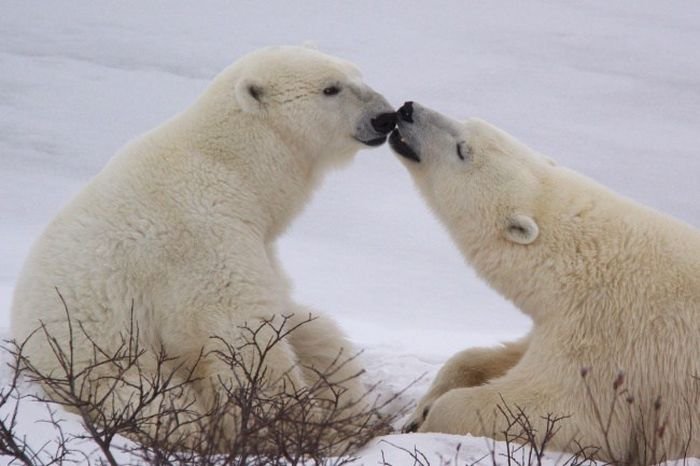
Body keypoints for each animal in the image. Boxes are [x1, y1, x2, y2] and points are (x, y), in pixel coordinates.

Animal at [388, 102, 700, 462]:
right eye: (468, 123)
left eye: (462, 149)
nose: (408, 109)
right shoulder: (555, 320)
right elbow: (487, 356)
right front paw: (419, 409)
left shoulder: (612, 340)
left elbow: (560, 411)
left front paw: (426, 421)